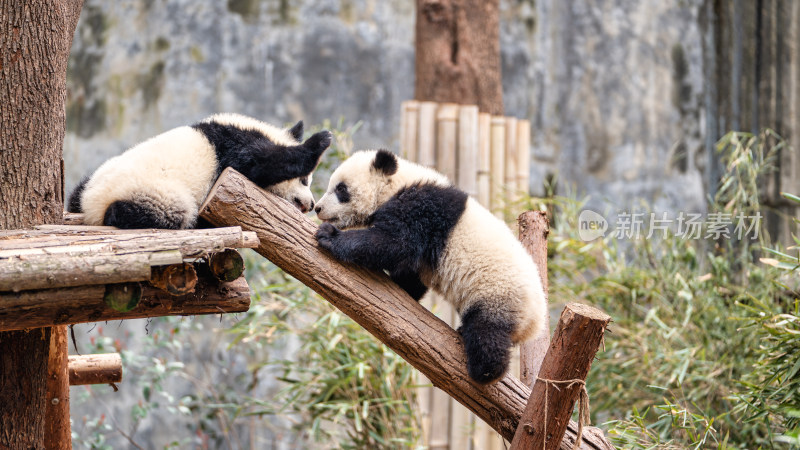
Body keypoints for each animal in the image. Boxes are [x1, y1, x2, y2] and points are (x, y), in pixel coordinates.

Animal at [68, 112, 332, 229]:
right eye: (305, 181)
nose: (310, 204)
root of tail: (91, 204)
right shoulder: (231, 147)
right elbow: (261, 162)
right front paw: (320, 141)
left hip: (89, 182)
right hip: (154, 190)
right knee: (172, 210)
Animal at [316, 149, 548, 382]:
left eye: (341, 189)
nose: (318, 208)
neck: (396, 184)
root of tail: (534, 323)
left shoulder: (422, 207)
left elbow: (395, 243)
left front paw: (330, 236)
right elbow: (409, 272)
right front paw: (404, 287)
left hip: (499, 295)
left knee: (487, 333)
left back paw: (484, 370)